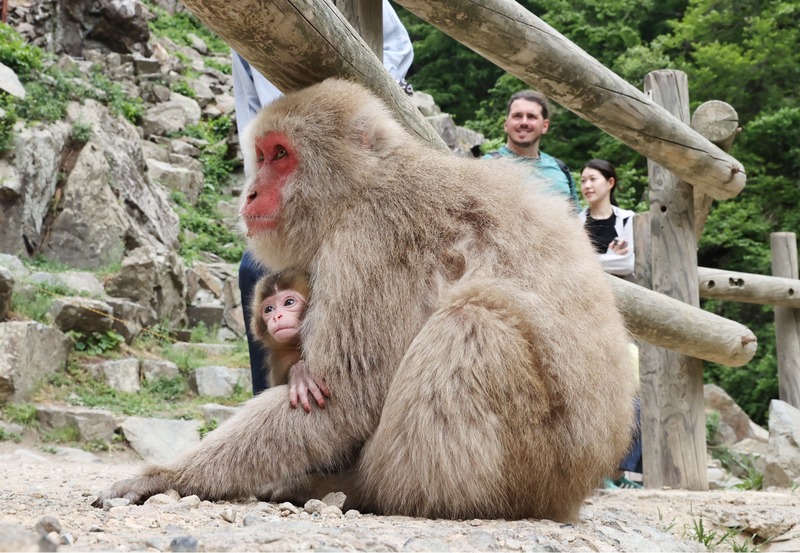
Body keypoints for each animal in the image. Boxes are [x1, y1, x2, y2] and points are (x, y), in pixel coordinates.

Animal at [250, 268, 331, 412]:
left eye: (289, 302)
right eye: (269, 309)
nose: (277, 316)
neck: (294, 345)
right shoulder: (280, 358)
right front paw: (301, 374)